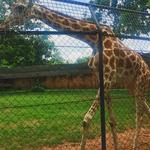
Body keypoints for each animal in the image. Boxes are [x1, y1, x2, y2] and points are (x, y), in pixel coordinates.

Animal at [0, 1, 149, 150]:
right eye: (12, 6)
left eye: (20, 8)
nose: (2, 25)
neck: (93, 39)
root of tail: (147, 69)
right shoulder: (104, 77)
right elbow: (112, 120)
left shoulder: (108, 75)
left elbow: (87, 119)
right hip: (131, 85)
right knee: (146, 109)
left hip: (140, 83)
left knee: (139, 115)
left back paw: (135, 144)